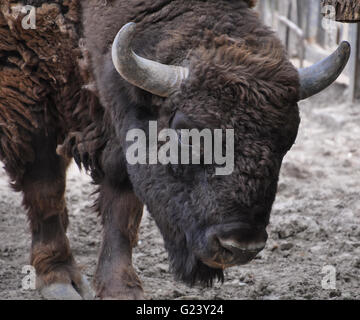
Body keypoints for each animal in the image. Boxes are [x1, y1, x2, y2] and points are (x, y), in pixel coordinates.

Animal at [0, 0, 348, 300]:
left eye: (288, 141)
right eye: (185, 133)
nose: (240, 246)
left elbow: (122, 210)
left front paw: (121, 289)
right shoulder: (31, 102)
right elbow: (46, 192)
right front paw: (57, 280)